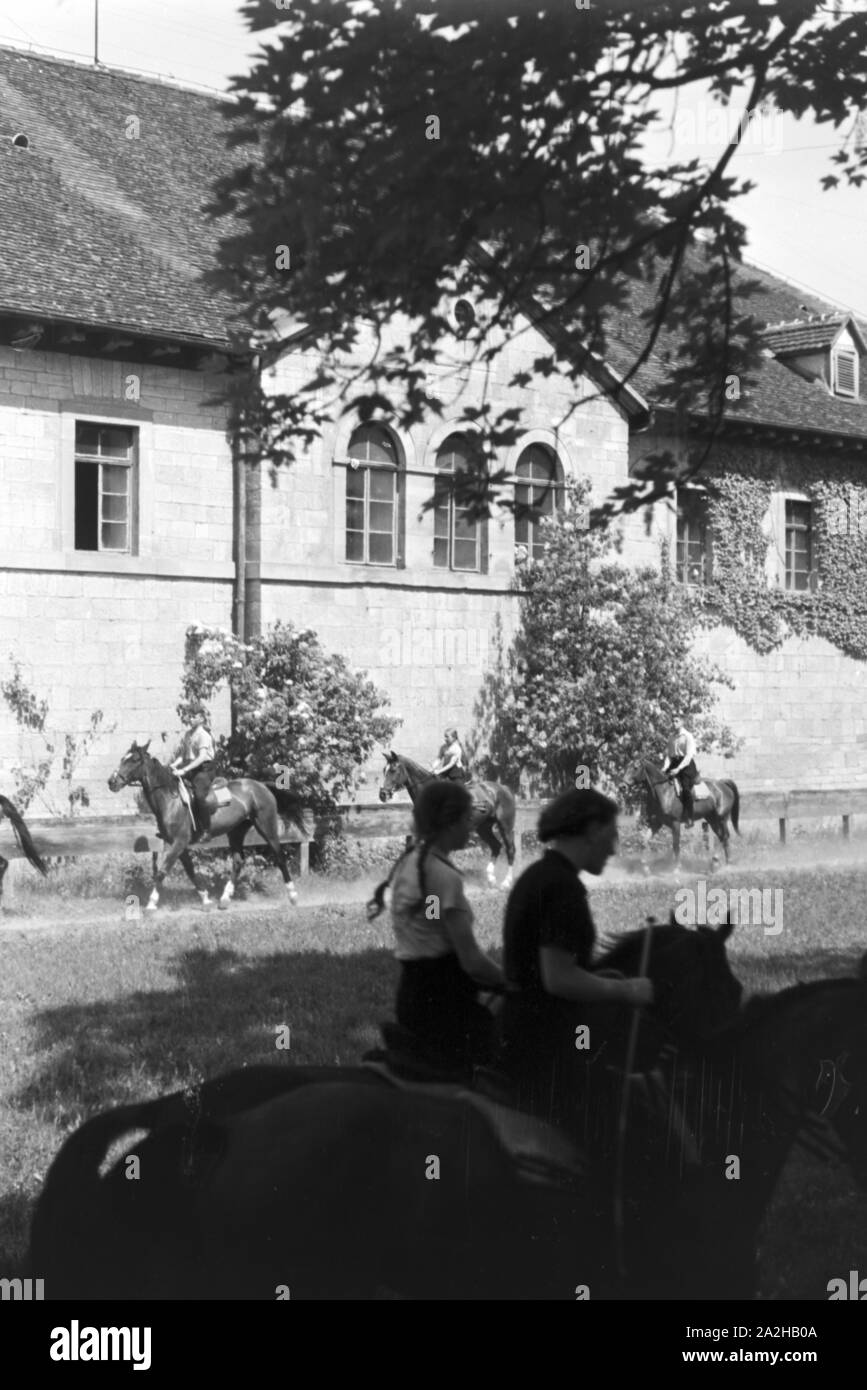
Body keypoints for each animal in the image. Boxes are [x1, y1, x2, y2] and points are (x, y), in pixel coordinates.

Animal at [106, 739, 307, 911]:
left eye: (134, 760)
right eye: (122, 758)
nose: (111, 782)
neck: (171, 800)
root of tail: (261, 786)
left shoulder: (179, 842)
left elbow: (163, 871)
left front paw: (151, 904)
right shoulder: (179, 845)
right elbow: (191, 871)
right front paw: (206, 900)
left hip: (266, 826)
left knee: (279, 856)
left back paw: (293, 896)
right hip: (236, 832)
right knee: (238, 861)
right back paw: (224, 899)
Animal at [377, 750, 514, 889]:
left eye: (393, 770)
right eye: (384, 770)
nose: (383, 794)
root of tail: (503, 788)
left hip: (505, 826)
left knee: (510, 850)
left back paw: (506, 882)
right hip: (483, 828)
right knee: (496, 846)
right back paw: (491, 879)